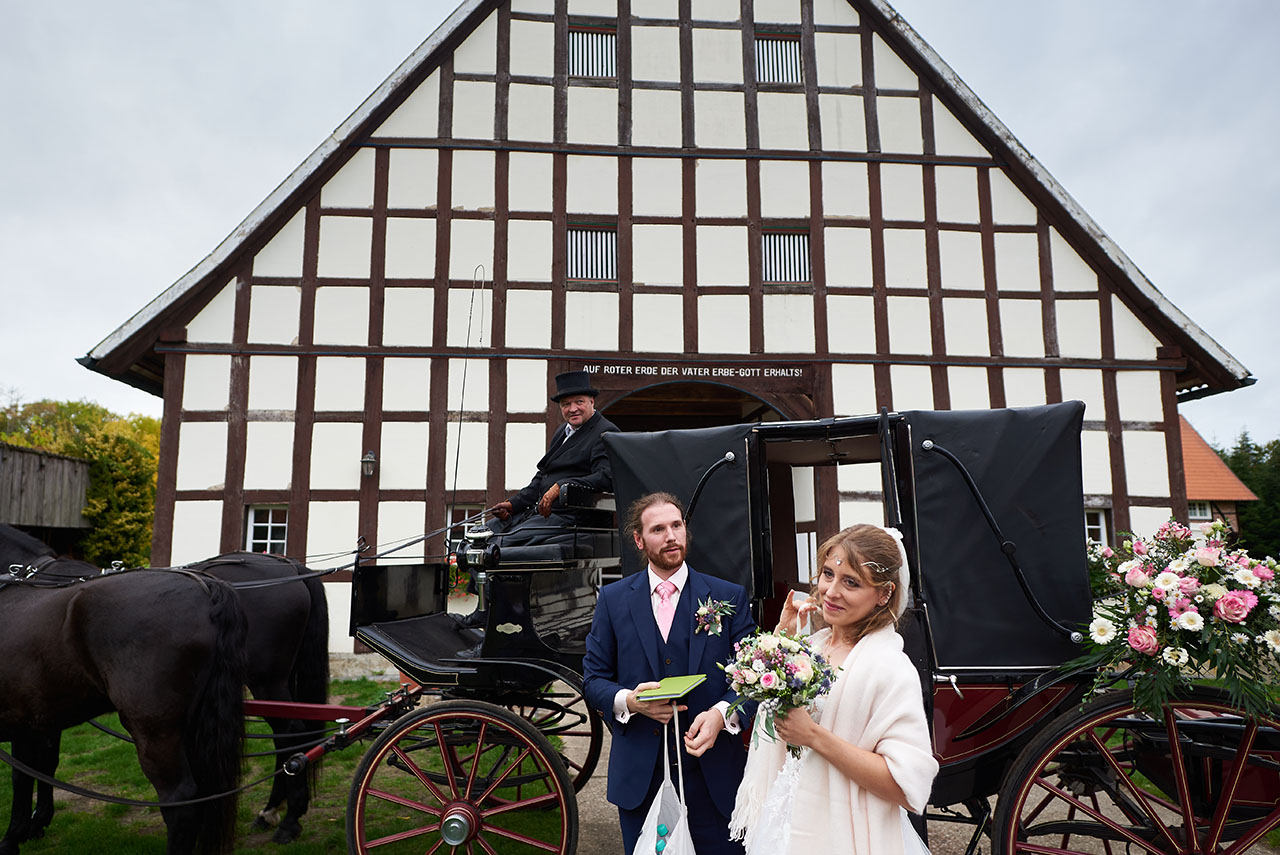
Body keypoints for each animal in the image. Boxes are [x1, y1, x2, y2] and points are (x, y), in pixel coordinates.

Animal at [0, 524, 247, 849]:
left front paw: (14, 835)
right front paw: (35, 824)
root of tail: (207, 590)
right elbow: (41, 767)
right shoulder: (41, 720)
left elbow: (22, 775)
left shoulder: (21, 721)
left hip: (154, 733)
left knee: (179, 803)